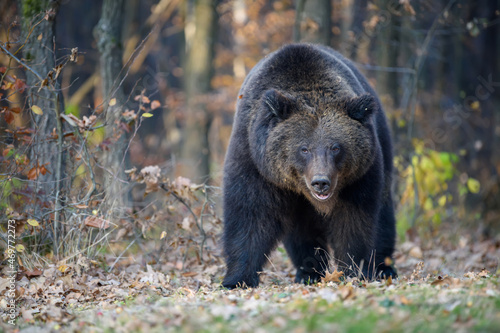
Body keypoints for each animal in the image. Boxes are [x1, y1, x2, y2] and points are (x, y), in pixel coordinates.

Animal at [221, 43, 396, 288]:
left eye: (336, 147)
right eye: (304, 149)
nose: (321, 182)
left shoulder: (359, 176)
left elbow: (354, 220)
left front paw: (354, 271)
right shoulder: (255, 160)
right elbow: (250, 214)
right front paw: (237, 278)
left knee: (384, 214)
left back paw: (384, 267)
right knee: (301, 231)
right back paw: (308, 272)